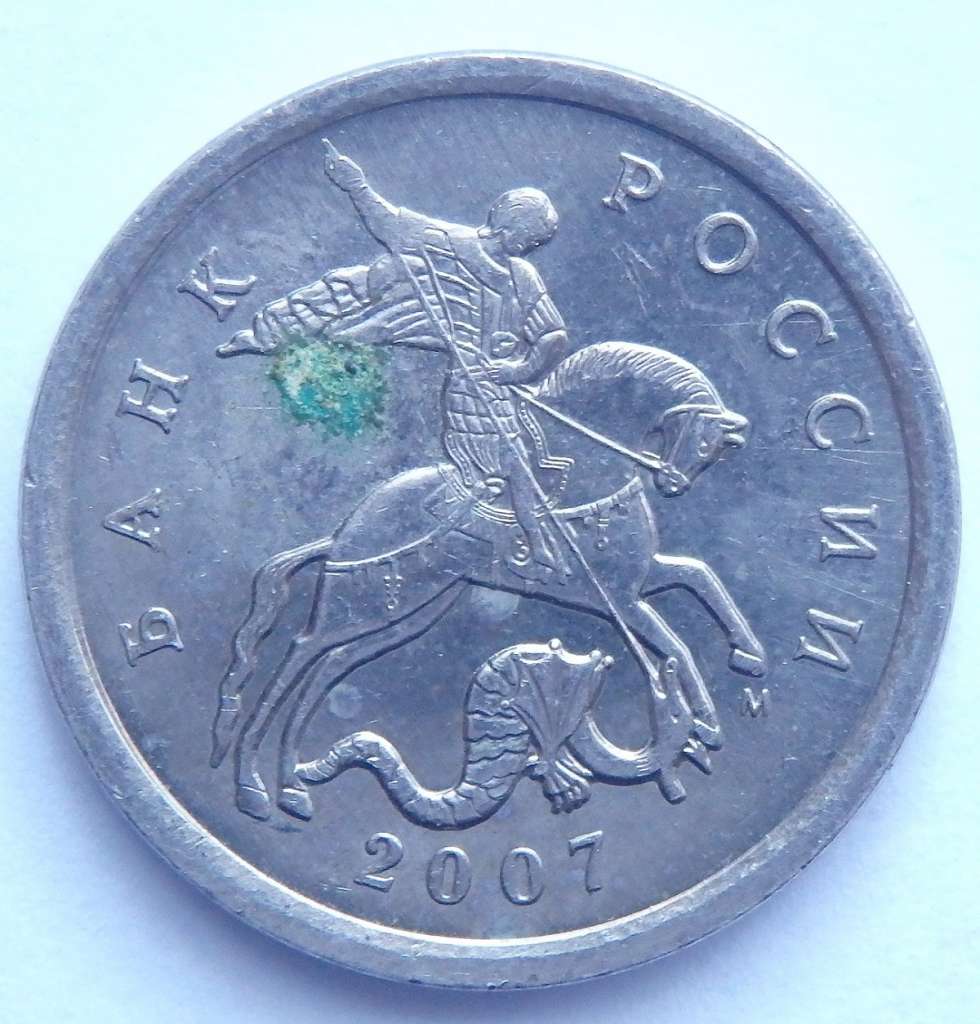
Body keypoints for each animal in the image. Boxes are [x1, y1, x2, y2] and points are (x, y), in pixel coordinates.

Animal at [209, 341, 767, 822]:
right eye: (704, 440)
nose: (675, 484)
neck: (593, 471)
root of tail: (348, 527)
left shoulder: (635, 583)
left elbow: (700, 577)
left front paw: (747, 656)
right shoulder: (619, 600)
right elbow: (677, 644)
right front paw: (707, 721)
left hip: (411, 612)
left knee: (330, 667)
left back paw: (292, 784)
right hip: (362, 602)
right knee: (299, 655)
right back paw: (253, 787)